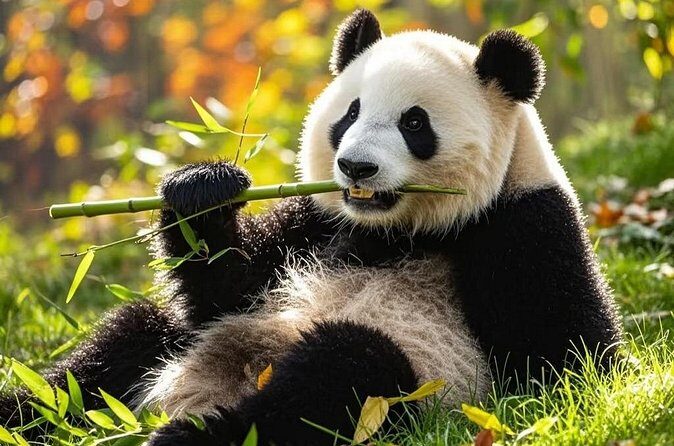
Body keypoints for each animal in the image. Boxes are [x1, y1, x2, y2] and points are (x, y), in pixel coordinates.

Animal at [0, 9, 622, 446]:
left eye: (414, 123)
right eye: (349, 113)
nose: (356, 167)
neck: (399, 229)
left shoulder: (523, 224)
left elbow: (568, 364)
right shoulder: (316, 222)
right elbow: (227, 289)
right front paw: (203, 193)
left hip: (412, 373)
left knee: (338, 375)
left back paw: (188, 435)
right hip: (179, 345)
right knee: (119, 345)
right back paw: (26, 415)